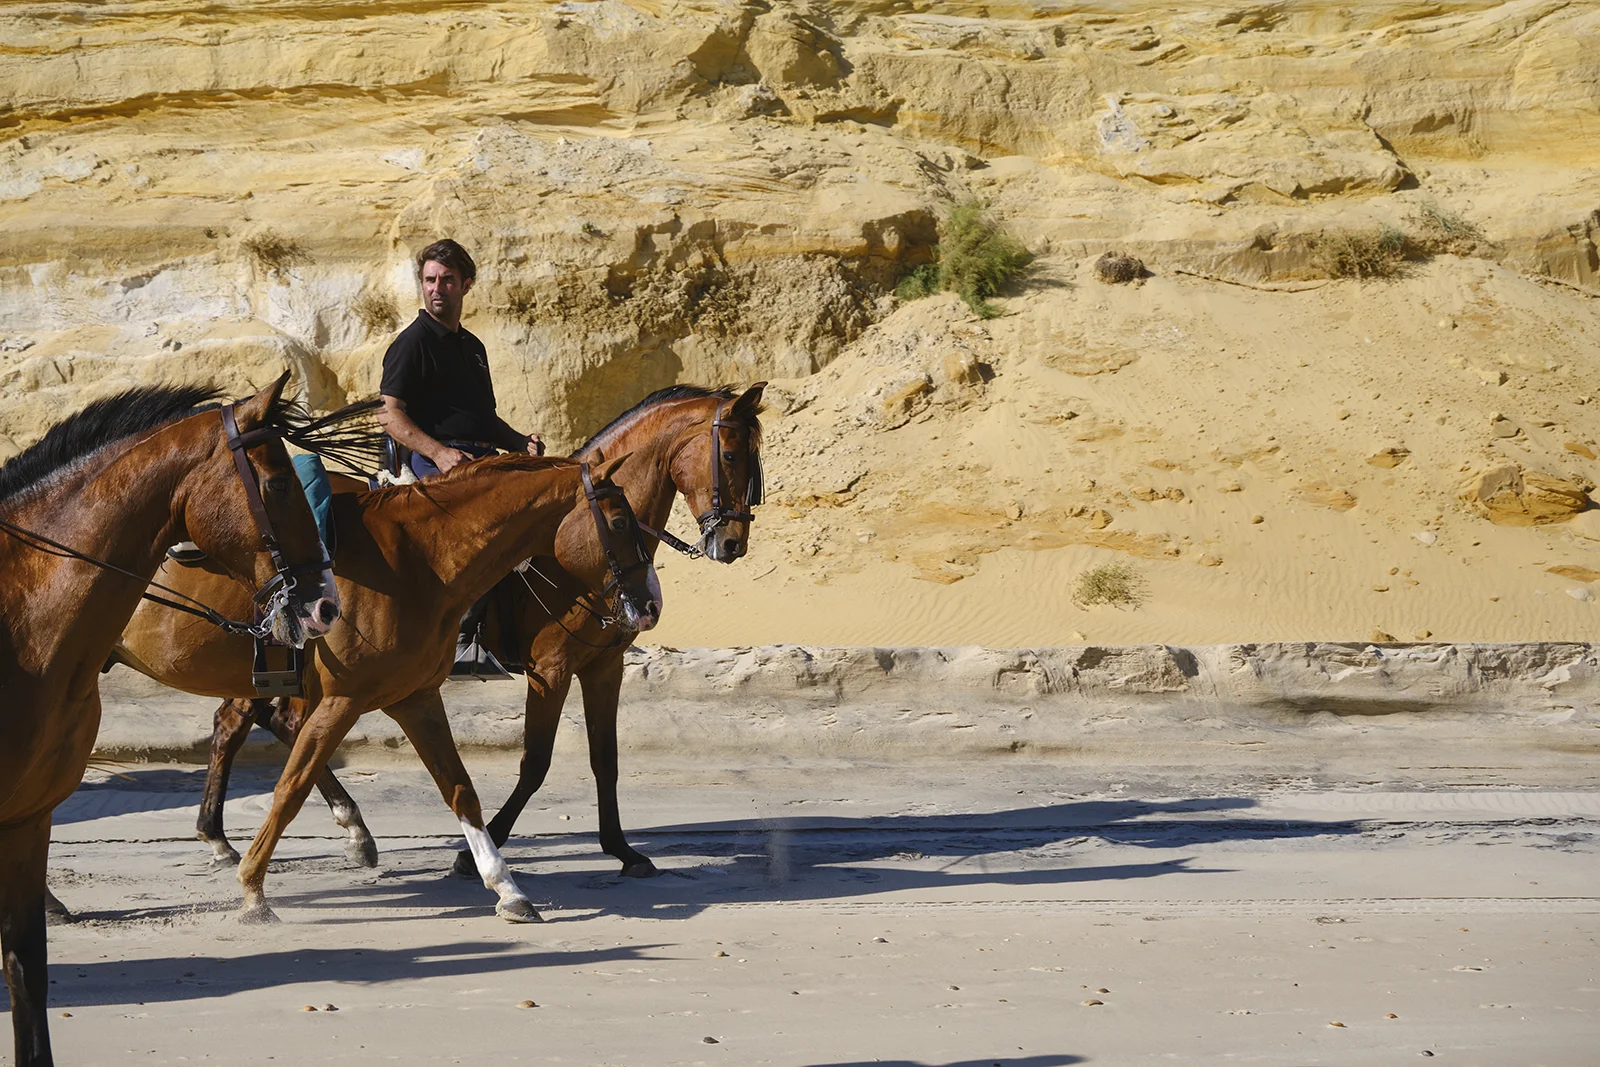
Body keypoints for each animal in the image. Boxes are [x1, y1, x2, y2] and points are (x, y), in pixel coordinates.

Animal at [110, 451, 662, 925]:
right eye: (619, 523)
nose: (651, 604)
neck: (418, 561)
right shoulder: (344, 699)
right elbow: (290, 787)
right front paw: (253, 889)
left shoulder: (416, 698)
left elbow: (461, 790)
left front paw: (506, 887)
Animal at [193, 383, 766, 883]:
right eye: (732, 455)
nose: (732, 542)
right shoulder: (551, 669)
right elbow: (535, 762)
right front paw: (476, 853)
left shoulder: (604, 666)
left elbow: (606, 760)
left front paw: (623, 850)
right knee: (245, 721)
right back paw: (239, 834)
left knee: (261, 720)